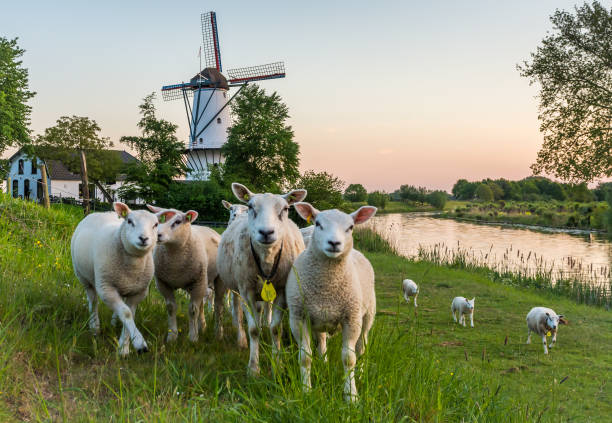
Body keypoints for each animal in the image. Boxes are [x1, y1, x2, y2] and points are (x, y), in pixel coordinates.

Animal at [71, 204, 175, 356]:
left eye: (156, 224)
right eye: (130, 221)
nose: (143, 238)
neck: (132, 266)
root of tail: (102, 212)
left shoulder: (139, 292)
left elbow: (129, 314)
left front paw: (124, 348)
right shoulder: (106, 288)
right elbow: (126, 313)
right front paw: (139, 343)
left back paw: (113, 322)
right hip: (84, 277)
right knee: (93, 302)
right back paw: (94, 327)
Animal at [146, 206, 222, 344]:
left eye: (177, 222)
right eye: (156, 222)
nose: (157, 235)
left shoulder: (198, 281)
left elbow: (192, 310)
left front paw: (193, 337)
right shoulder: (163, 283)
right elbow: (171, 308)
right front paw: (172, 336)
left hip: (215, 280)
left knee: (218, 305)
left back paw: (218, 333)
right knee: (201, 305)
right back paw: (202, 327)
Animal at [218, 182, 308, 374]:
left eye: (285, 208)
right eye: (251, 207)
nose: (266, 232)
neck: (267, 258)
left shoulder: (281, 290)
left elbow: (276, 329)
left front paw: (277, 364)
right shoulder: (246, 290)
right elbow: (253, 330)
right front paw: (253, 368)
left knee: (265, 308)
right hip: (236, 286)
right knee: (237, 310)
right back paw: (241, 339)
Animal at [286, 204, 378, 402]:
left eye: (350, 227)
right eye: (318, 223)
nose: (334, 243)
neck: (327, 288)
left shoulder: (351, 318)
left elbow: (349, 359)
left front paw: (351, 395)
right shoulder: (298, 316)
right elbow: (305, 357)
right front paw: (306, 390)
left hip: (368, 315)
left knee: (361, 348)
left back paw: (360, 374)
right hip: (319, 316)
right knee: (321, 342)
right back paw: (323, 364)